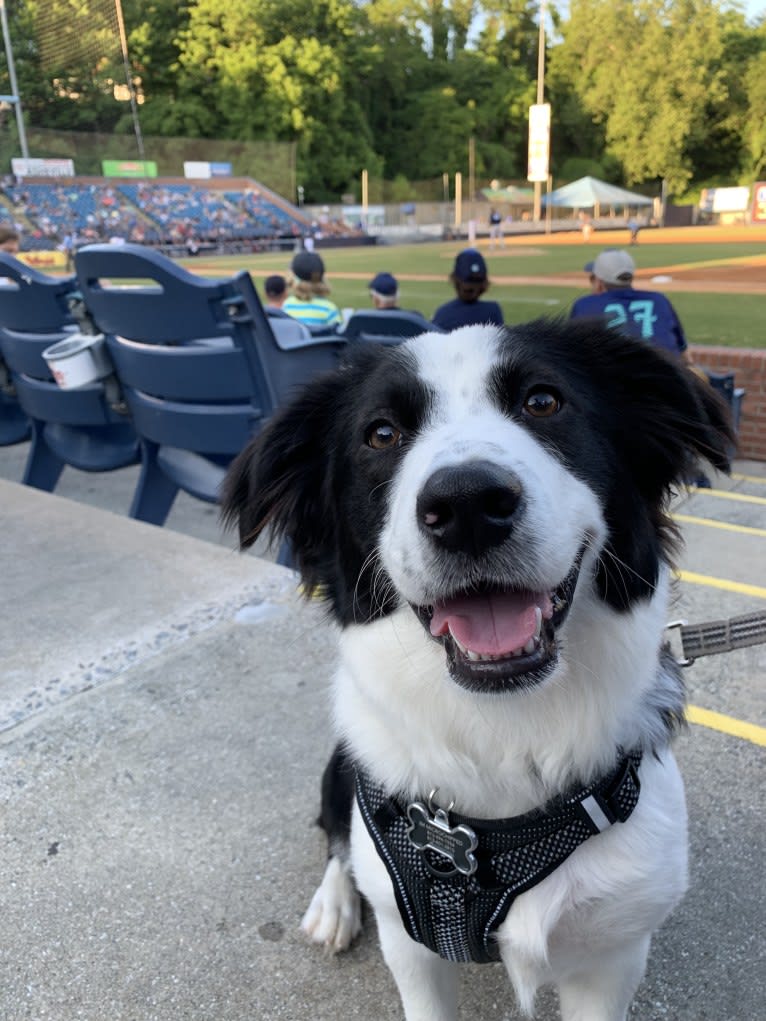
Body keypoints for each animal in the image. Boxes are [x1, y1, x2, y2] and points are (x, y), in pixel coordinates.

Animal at [221, 324, 731, 1021]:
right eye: (381, 433)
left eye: (544, 401)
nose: (466, 504)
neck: (507, 730)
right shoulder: (411, 947)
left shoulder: (613, 955)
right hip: (341, 764)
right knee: (335, 837)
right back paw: (334, 903)